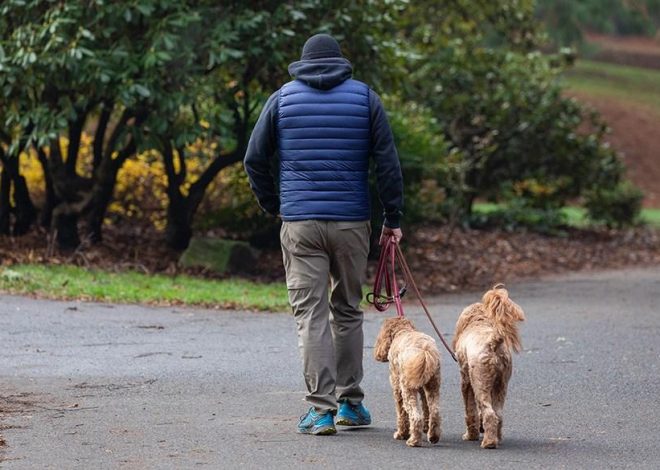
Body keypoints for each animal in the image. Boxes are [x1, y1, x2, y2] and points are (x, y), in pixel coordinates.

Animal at [374, 318, 440, 446]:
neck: (403, 330)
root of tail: (424, 350)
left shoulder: (397, 387)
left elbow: (401, 413)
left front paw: (401, 434)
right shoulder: (422, 389)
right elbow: (425, 408)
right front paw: (425, 428)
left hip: (407, 389)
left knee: (415, 416)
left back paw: (413, 440)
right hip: (433, 384)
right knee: (435, 412)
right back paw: (433, 436)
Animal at [454, 284, 524, 450]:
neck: (479, 322)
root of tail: (493, 342)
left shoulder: (466, 382)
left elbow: (470, 411)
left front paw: (471, 435)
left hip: (480, 384)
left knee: (489, 414)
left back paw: (488, 443)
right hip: (501, 385)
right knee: (498, 415)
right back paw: (496, 438)